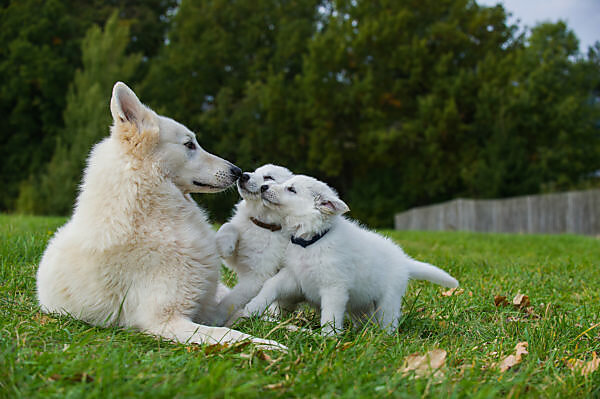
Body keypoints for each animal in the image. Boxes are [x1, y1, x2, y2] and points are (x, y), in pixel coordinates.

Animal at [37, 82, 284, 350]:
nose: (237, 171)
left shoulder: (206, 307)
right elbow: (231, 335)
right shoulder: (167, 321)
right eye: (189, 144)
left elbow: (244, 318)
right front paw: (270, 346)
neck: (150, 215)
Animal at [213, 164, 296, 326]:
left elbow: (230, 301)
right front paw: (224, 245)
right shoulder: (236, 258)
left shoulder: (256, 277)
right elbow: (229, 226)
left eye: (269, 177)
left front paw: (214, 317)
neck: (261, 224)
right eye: (255, 171)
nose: (243, 175)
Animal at [241, 177, 458, 336]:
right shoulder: (294, 276)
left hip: (388, 301)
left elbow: (330, 315)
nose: (263, 187)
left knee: (388, 320)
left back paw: (384, 338)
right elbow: (271, 285)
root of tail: (404, 261)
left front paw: (328, 338)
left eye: (291, 189)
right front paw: (253, 307)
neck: (312, 241)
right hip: (361, 305)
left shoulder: (334, 287)